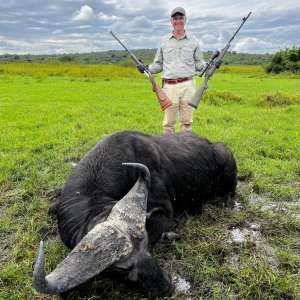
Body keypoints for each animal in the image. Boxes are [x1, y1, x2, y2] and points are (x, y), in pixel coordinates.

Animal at [32, 130, 238, 298]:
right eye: (120, 269)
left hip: (225, 157)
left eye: (147, 247)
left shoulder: (165, 212)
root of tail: (211, 144)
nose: (168, 287)